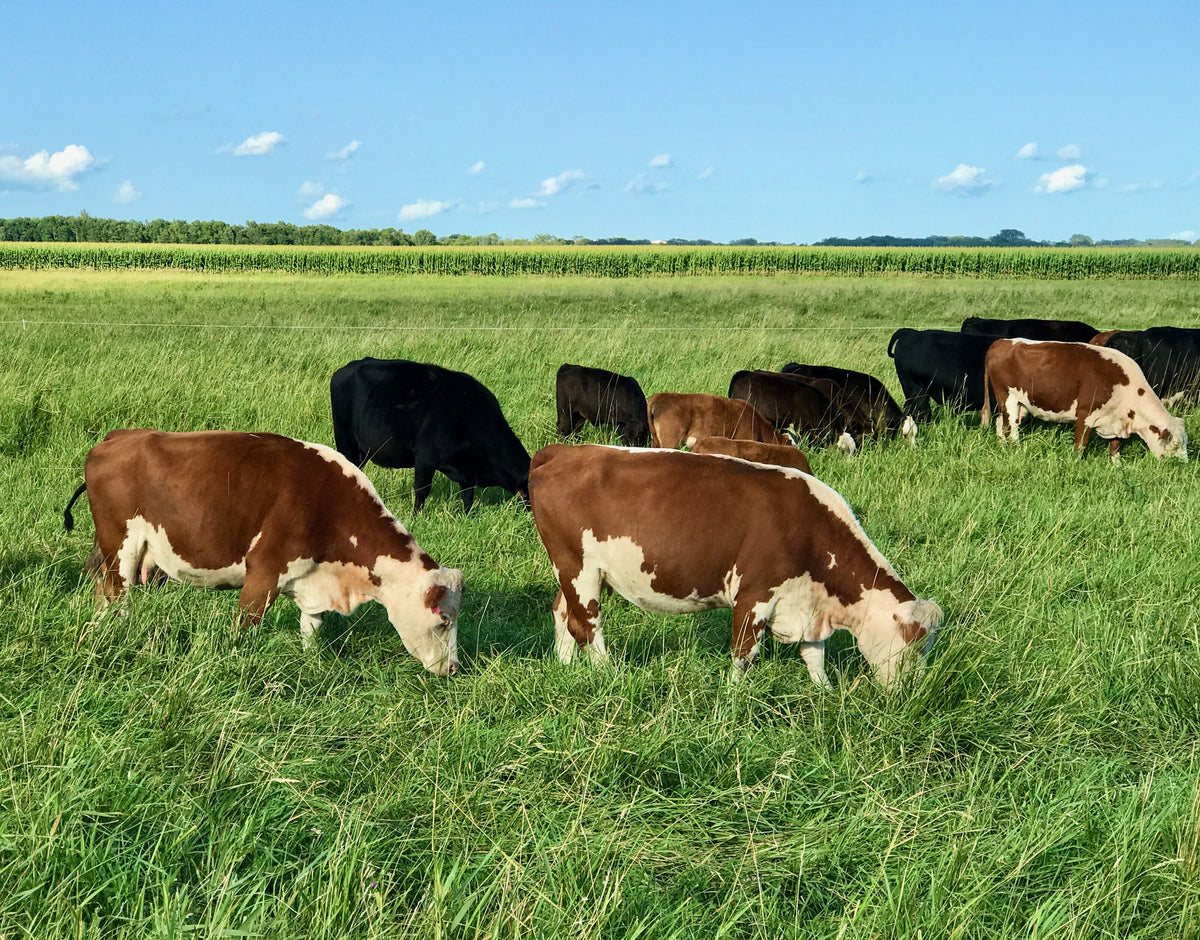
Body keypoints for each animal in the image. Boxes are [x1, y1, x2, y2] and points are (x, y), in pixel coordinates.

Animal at [62, 429, 464, 674]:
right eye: (444, 620)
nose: (454, 669)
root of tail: (118, 437)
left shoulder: (310, 580)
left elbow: (311, 630)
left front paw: (312, 665)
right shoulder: (264, 572)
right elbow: (244, 628)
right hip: (122, 548)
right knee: (118, 597)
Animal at [330, 358, 531, 514]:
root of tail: (347, 367)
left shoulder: (466, 471)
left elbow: (468, 496)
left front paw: (469, 517)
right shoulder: (425, 458)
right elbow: (422, 491)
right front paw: (416, 517)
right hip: (346, 441)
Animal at [528, 444, 941, 687]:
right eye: (914, 646)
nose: (915, 691)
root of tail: (563, 451)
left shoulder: (807, 601)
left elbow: (814, 655)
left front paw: (823, 693)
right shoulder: (755, 594)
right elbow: (744, 654)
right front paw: (733, 700)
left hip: (581, 572)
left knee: (562, 612)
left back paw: (564, 668)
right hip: (578, 568)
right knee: (587, 626)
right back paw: (609, 675)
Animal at [981, 340, 1188, 461]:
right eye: (1175, 445)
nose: (1181, 465)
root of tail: (1002, 342)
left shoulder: (1116, 418)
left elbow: (1115, 446)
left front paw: (1117, 466)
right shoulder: (1085, 413)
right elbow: (1080, 445)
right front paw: (1075, 463)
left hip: (1021, 404)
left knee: (1001, 423)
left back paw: (1002, 448)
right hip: (1007, 398)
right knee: (1010, 430)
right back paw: (1015, 450)